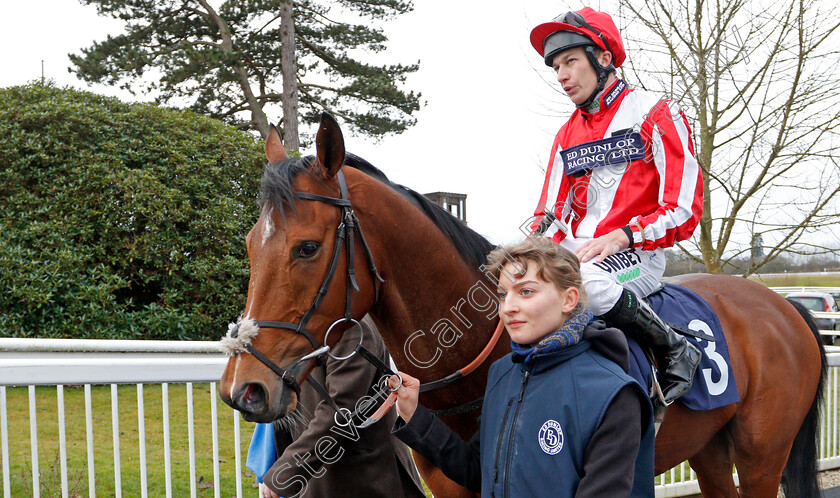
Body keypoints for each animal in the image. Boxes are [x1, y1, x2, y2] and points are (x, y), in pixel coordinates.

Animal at [218, 114, 828, 498]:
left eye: (307, 247)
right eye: (249, 243)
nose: (245, 390)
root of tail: (785, 307)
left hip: (761, 455)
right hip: (709, 447)